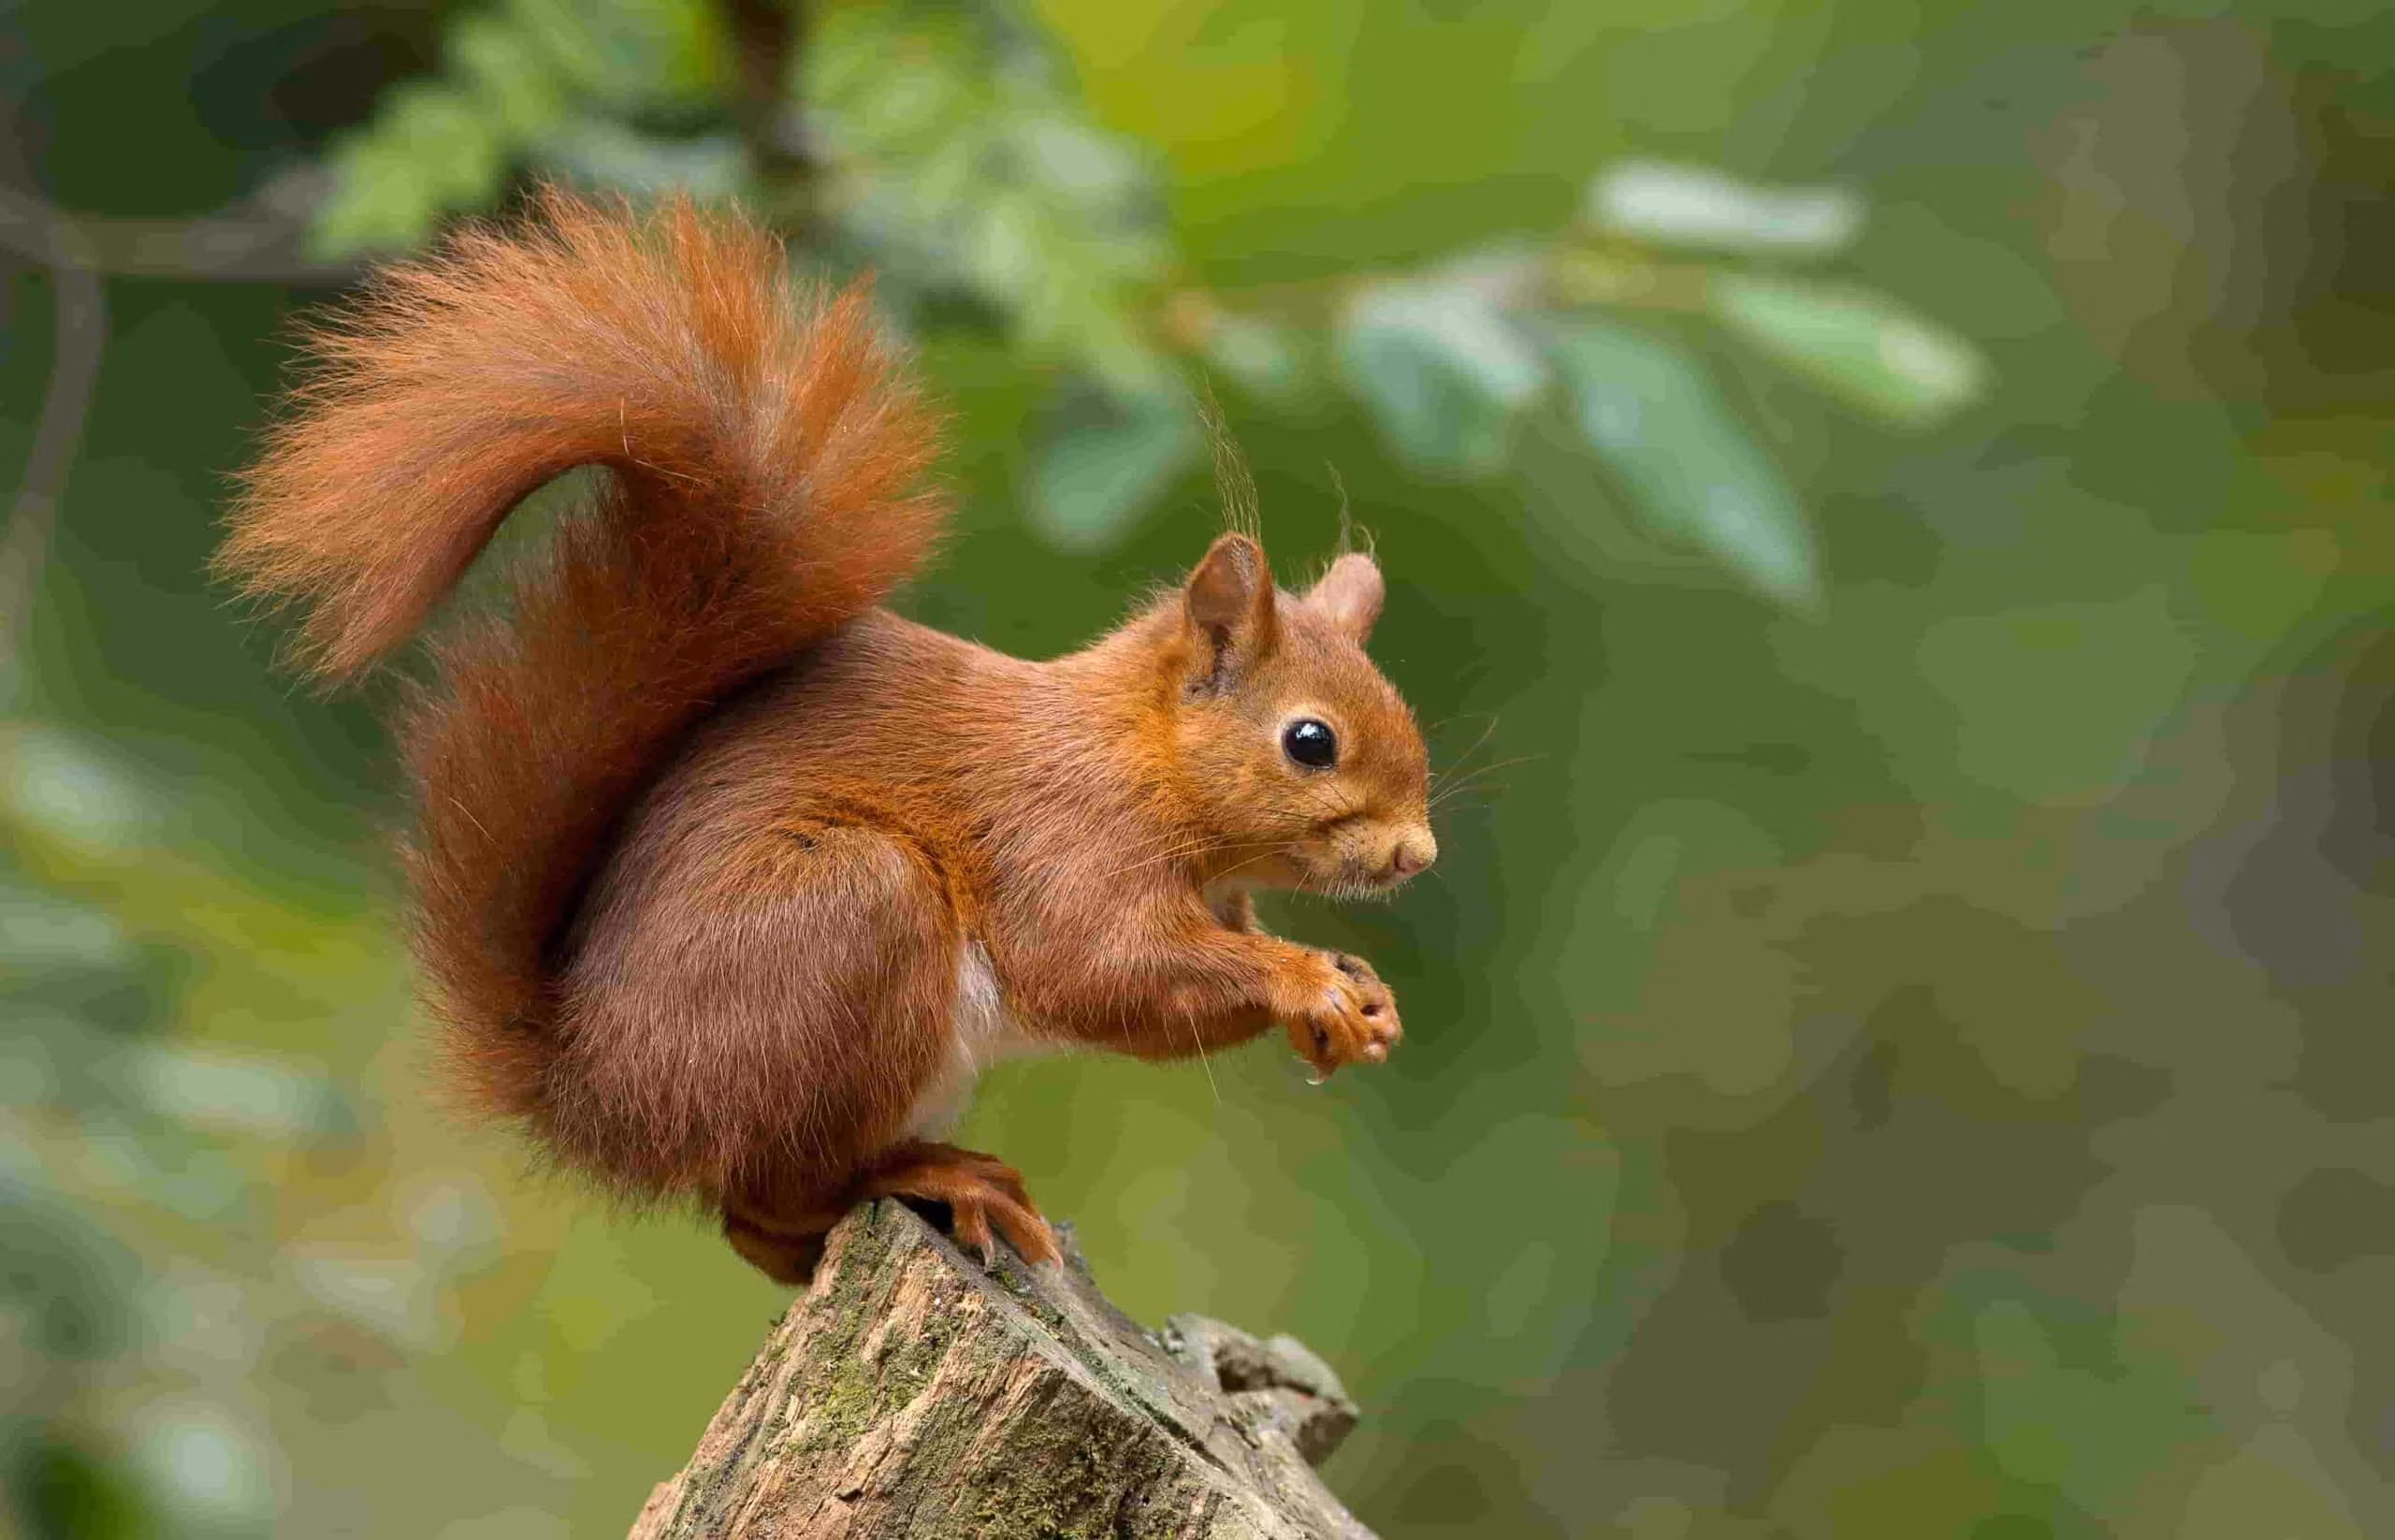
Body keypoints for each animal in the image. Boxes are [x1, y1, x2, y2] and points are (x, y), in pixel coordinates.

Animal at [219, 190, 1437, 1284]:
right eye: (1311, 740)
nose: (1417, 854)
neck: (1140, 759)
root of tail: (597, 1101)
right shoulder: (1061, 836)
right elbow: (1102, 969)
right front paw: (1304, 980)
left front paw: (1359, 995)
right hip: (848, 918)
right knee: (767, 1196)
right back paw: (932, 1175)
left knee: (757, 1232)